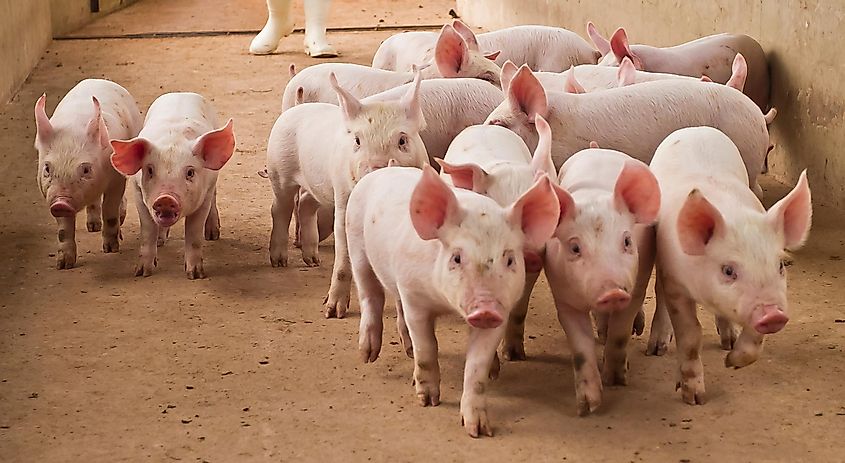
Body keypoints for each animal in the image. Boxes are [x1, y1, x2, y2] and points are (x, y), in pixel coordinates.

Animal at [33, 78, 143, 270]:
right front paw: (63, 265)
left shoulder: (116, 179)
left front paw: (111, 249)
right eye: (47, 168)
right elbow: (64, 229)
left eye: (85, 169)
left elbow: (110, 209)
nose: (61, 203)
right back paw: (93, 227)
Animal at [111, 91, 237, 280]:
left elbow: (193, 232)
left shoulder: (203, 197)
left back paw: (212, 235)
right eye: (150, 170)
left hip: (213, 181)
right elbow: (147, 231)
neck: (173, 142)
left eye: (190, 172)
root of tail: (181, 92)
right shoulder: (138, 192)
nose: (165, 198)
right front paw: (142, 273)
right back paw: (161, 241)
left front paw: (195, 275)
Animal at [350, 167, 560, 438]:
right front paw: (428, 401)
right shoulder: (413, 295)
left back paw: (408, 351)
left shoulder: (501, 312)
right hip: (355, 241)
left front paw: (478, 430)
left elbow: (476, 368)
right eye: (457, 257)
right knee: (369, 293)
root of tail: (382, 170)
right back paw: (368, 355)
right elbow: (427, 348)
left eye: (510, 259)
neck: (444, 303)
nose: (485, 309)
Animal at [544, 147, 664, 416]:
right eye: (575, 247)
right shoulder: (563, 298)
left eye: (627, 241)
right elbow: (580, 349)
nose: (612, 292)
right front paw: (587, 407)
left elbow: (621, 332)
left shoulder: (636, 286)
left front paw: (617, 379)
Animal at [648, 127, 812, 406]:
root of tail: (694, 128)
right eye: (728, 270)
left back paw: (728, 341)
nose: (774, 315)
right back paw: (657, 348)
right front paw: (694, 398)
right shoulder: (676, 282)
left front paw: (731, 361)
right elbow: (690, 334)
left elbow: (755, 338)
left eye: (780, 265)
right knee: (659, 292)